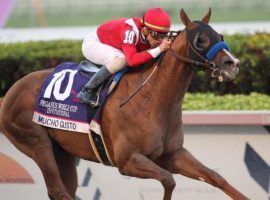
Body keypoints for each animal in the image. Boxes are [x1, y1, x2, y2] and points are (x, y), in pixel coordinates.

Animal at [0, 8, 247, 199]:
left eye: (219, 35)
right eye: (200, 39)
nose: (232, 64)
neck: (152, 97)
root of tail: (10, 92)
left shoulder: (173, 154)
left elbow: (215, 176)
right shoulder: (127, 161)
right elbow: (169, 180)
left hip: (63, 153)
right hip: (35, 142)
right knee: (58, 190)